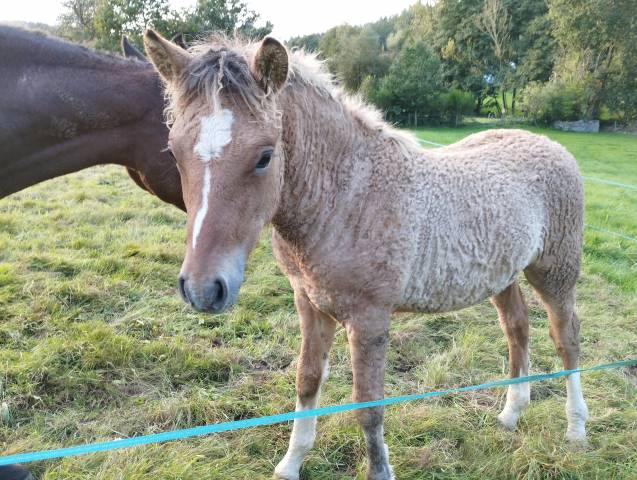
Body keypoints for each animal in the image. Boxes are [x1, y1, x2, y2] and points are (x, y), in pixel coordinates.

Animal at [143, 31, 588, 480]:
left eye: (265, 156)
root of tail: (553, 146)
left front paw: (379, 470)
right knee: (518, 328)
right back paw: (511, 414)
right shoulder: (309, 304)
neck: (346, 197)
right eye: (174, 152)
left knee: (566, 339)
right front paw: (291, 463)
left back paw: (576, 429)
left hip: (555, 273)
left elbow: (368, 406)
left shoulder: (370, 319)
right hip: (504, 275)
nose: (203, 289)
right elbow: (307, 380)